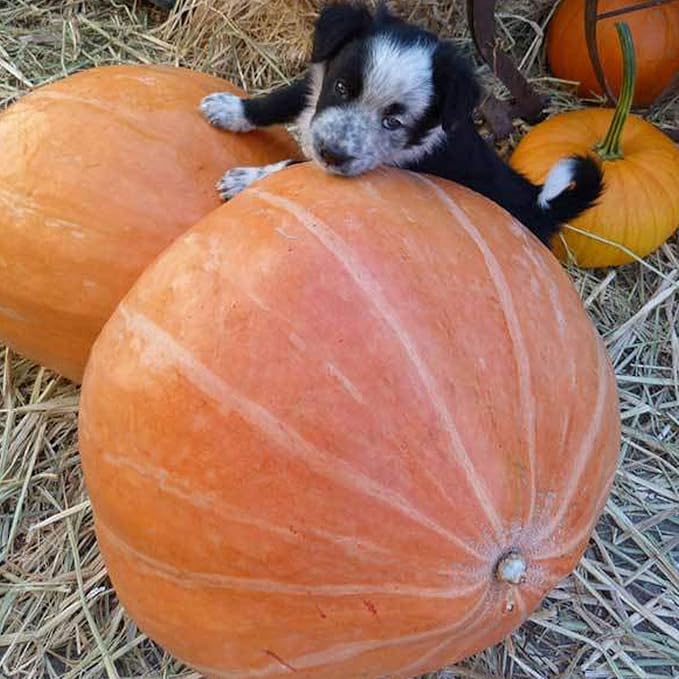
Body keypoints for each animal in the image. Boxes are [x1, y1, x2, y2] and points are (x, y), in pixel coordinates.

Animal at [199, 1, 604, 246]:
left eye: (392, 121)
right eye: (342, 88)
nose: (331, 153)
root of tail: (538, 204)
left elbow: (290, 165)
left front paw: (244, 180)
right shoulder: (318, 86)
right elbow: (278, 100)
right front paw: (228, 109)